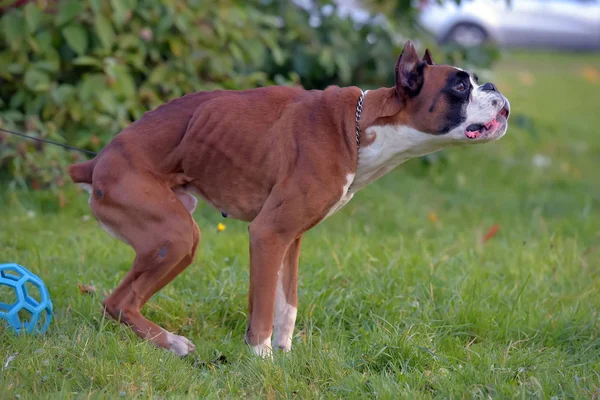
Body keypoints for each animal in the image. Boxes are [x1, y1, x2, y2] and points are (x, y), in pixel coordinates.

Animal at [69, 41, 510, 356]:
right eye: (459, 86)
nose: (494, 87)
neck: (359, 129)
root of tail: (97, 161)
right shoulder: (267, 234)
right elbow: (265, 306)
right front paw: (261, 357)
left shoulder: (291, 239)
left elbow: (286, 303)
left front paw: (284, 353)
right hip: (176, 236)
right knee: (118, 302)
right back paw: (172, 343)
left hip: (175, 238)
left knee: (120, 300)